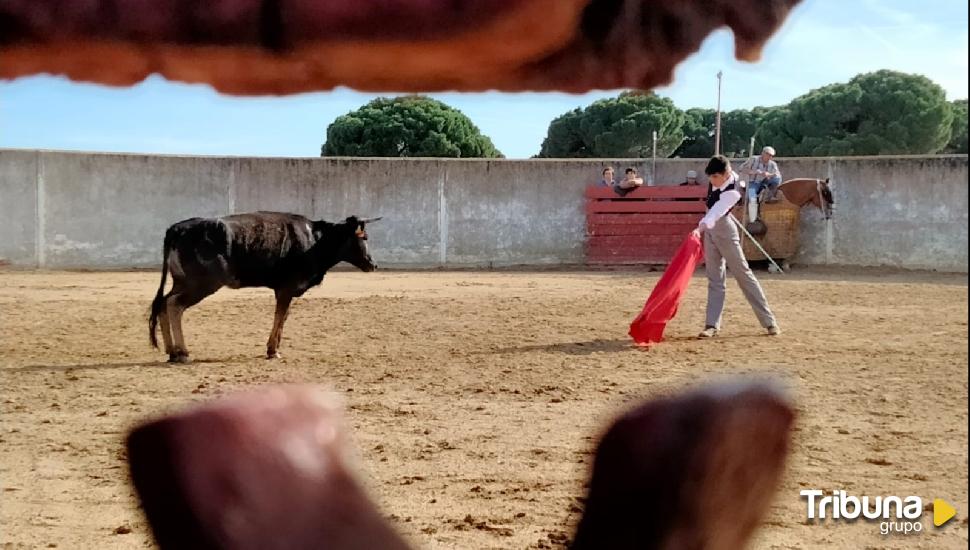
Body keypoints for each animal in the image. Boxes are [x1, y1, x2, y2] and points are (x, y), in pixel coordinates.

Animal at [149, 213, 380, 364]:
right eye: (364, 238)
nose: (373, 264)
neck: (316, 240)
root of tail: (177, 229)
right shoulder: (286, 289)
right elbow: (280, 316)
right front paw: (272, 351)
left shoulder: (284, 290)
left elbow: (283, 317)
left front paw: (273, 349)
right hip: (202, 284)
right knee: (174, 304)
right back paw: (182, 352)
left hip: (182, 282)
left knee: (162, 303)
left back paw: (171, 351)